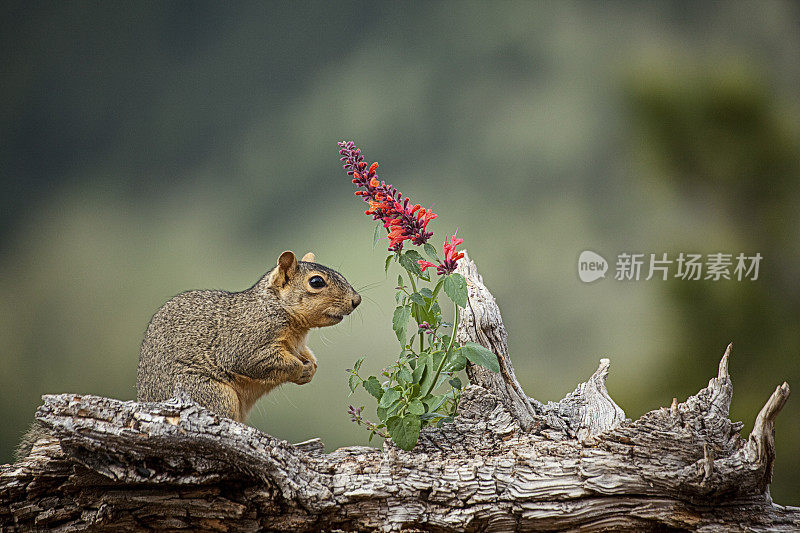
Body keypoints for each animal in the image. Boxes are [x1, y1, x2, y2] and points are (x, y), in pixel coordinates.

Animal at [16, 251, 360, 460]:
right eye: (316, 282)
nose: (356, 300)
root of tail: (148, 402)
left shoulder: (299, 344)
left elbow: (307, 356)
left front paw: (310, 368)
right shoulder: (245, 342)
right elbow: (258, 362)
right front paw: (298, 370)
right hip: (212, 395)